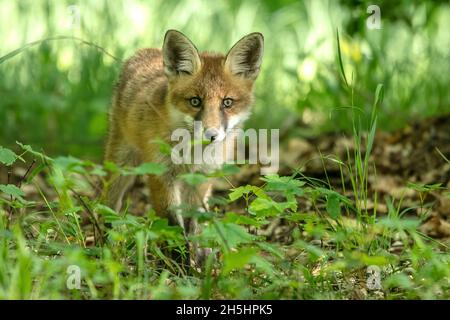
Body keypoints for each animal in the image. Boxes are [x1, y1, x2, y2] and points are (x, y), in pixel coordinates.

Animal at [104, 29, 264, 264]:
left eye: (227, 103)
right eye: (195, 101)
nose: (211, 135)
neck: (193, 155)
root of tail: (146, 51)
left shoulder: (201, 178)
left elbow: (190, 224)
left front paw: (193, 262)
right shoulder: (161, 175)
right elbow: (173, 225)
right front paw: (179, 264)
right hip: (121, 164)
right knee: (107, 201)